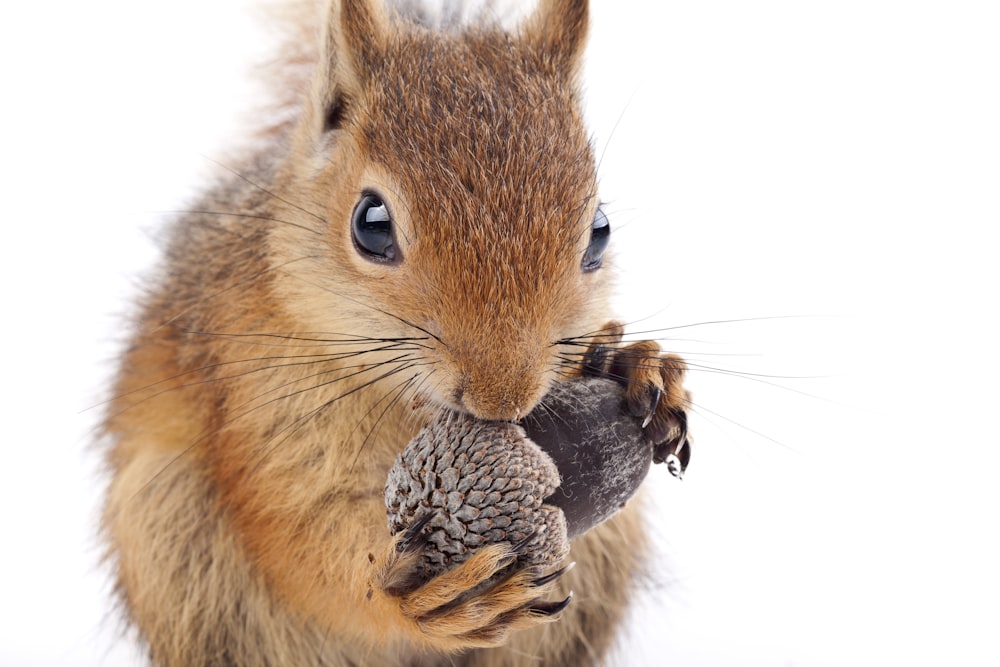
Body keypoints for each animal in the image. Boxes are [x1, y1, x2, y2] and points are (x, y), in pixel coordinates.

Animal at [103, 1, 696, 667]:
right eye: (371, 224)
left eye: (600, 230)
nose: (504, 397)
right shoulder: (251, 403)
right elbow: (298, 535)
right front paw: (409, 596)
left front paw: (639, 367)